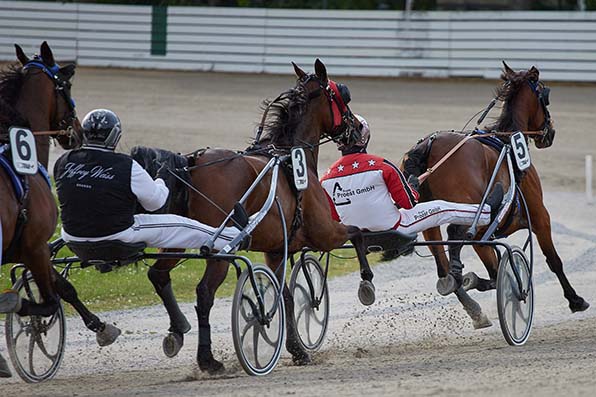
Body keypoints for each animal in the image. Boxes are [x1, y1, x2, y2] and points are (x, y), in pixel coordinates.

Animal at [0, 41, 84, 376]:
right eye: (67, 84)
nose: (78, 131)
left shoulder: (27, 249)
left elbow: (63, 288)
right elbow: (51, 297)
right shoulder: (35, 247)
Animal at [398, 62, 588, 326]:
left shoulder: (483, 236)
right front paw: (575, 299)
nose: (550, 133)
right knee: (454, 236)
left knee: (443, 265)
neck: (508, 143)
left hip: (431, 219)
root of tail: (429, 144)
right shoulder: (540, 216)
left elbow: (495, 270)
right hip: (469, 209)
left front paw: (485, 282)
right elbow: (553, 261)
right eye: (544, 96)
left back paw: (470, 303)